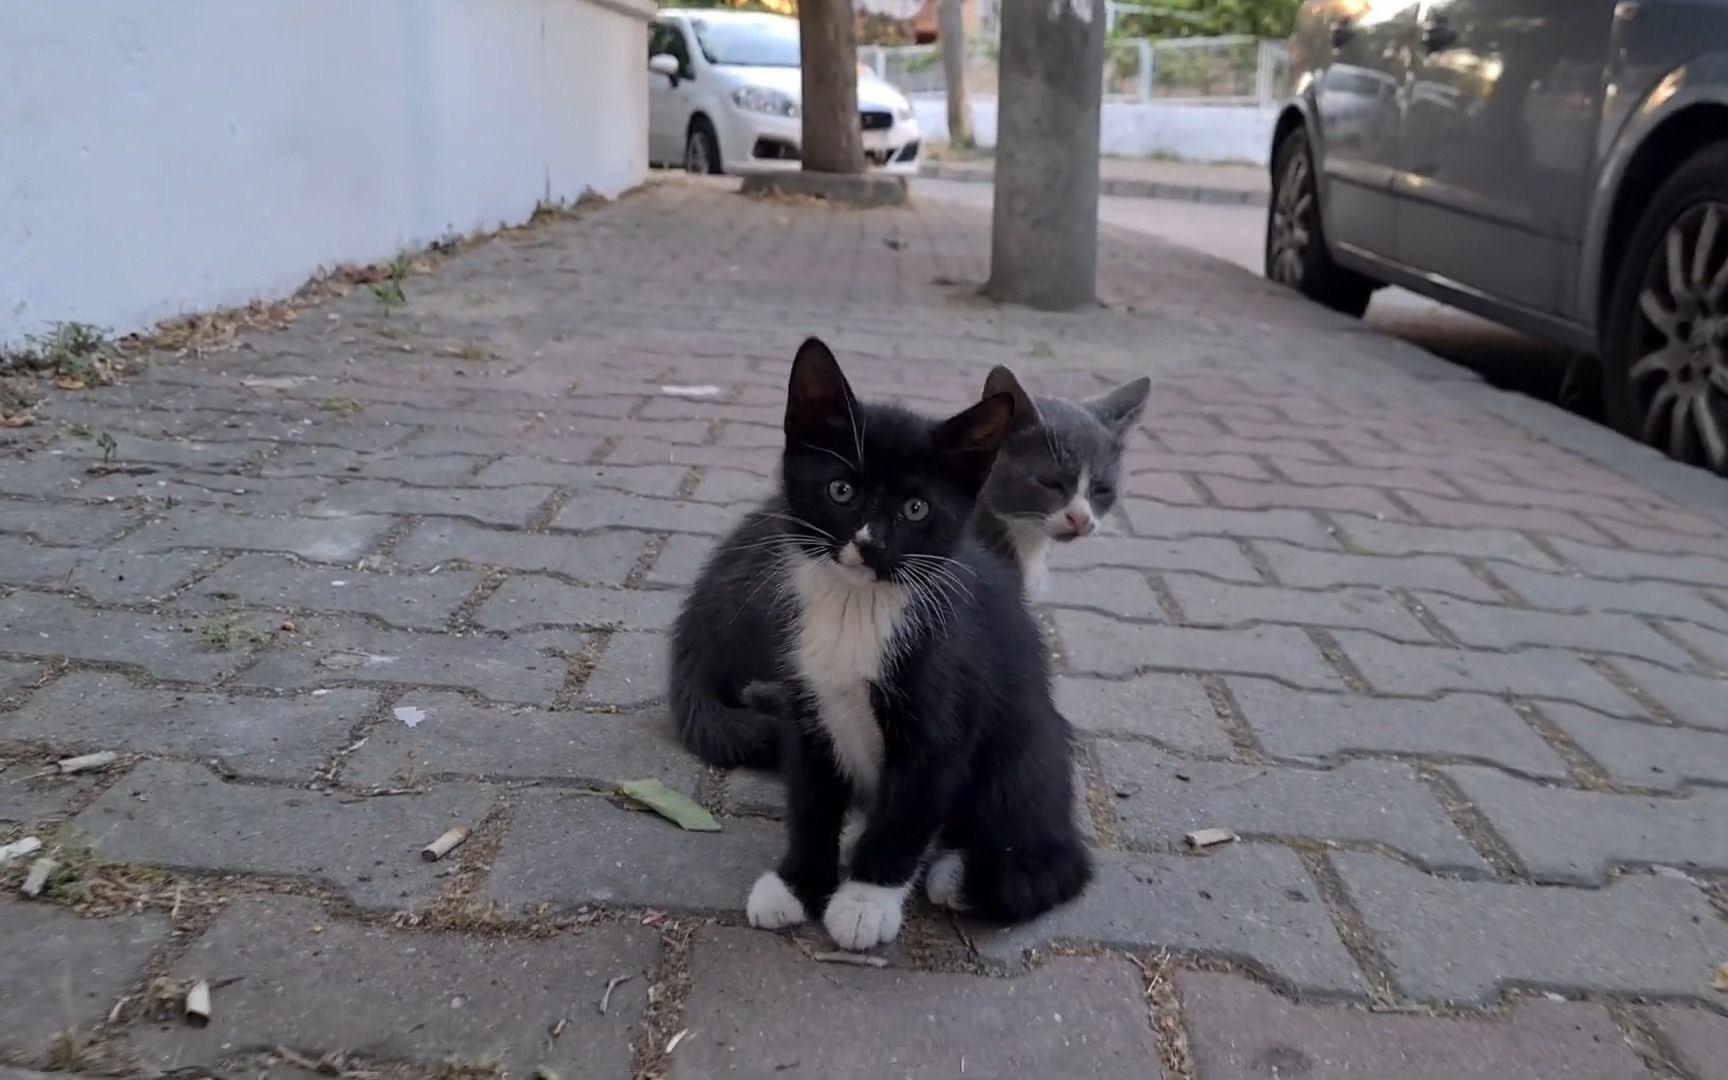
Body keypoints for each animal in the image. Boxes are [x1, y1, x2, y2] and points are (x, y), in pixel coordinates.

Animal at [736, 340, 1085, 946]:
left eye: (916, 509)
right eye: (841, 490)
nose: (869, 544)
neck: (859, 608)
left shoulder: (942, 720)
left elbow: (908, 812)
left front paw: (864, 901)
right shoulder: (806, 706)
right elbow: (811, 802)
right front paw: (798, 882)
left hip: (1025, 751)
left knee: (1054, 862)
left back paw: (958, 871)